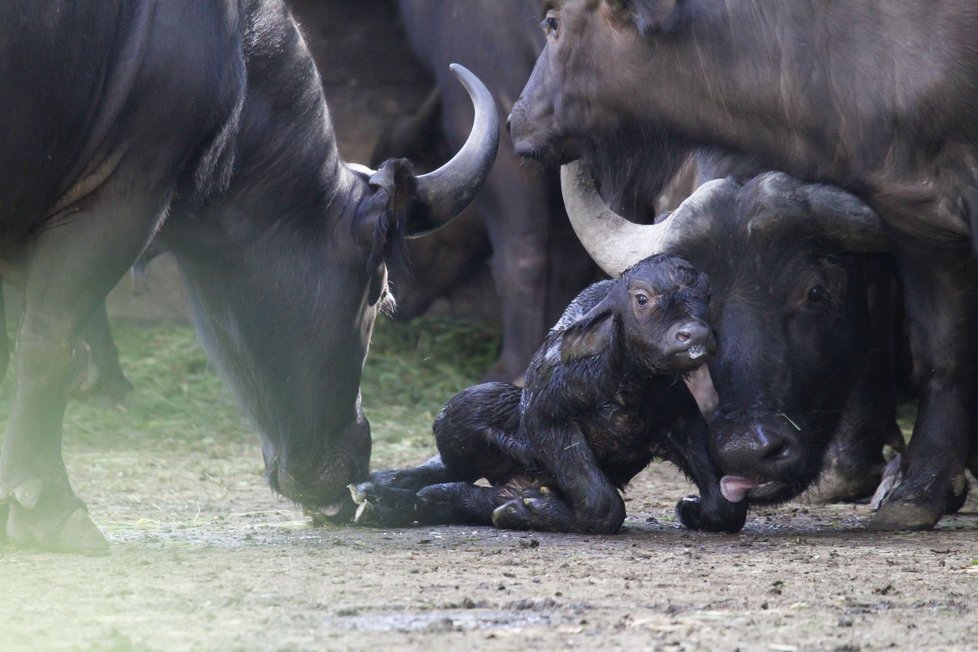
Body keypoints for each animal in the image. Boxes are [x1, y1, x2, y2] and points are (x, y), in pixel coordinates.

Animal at [352, 252, 748, 532]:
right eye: (641, 298)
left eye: (707, 296)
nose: (694, 335)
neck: (626, 388)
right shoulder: (547, 415)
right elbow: (602, 503)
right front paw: (529, 510)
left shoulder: (681, 417)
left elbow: (725, 505)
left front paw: (691, 507)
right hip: (468, 407)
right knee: (452, 461)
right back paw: (382, 493)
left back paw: (388, 497)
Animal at [508, 0, 976, 528]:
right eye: (709, 305)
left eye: (816, 292)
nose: (747, 452)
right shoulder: (920, 225)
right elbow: (939, 350)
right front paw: (918, 489)